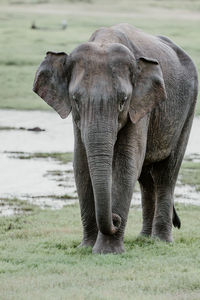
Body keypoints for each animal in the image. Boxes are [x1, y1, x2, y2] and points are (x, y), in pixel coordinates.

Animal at [33, 23, 198, 253]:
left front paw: (107, 252)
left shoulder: (140, 105)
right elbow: (81, 165)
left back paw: (160, 241)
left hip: (188, 108)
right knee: (146, 179)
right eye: (76, 99)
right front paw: (86, 248)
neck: (105, 40)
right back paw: (144, 239)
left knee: (166, 173)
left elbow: (126, 163)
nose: (115, 219)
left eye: (123, 101)